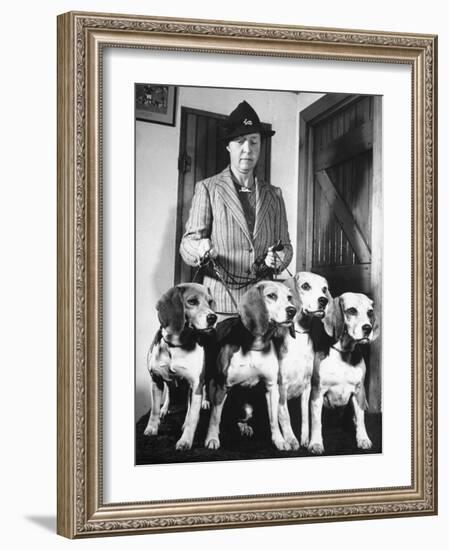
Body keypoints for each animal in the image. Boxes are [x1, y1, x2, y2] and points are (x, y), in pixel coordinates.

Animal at [142, 284, 215, 452]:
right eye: (192, 301)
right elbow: (154, 410)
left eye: (210, 302)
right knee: (170, 393)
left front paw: (185, 441)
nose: (213, 317)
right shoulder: (156, 380)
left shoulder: (195, 385)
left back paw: (204, 403)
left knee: (202, 392)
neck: (176, 345)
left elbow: (193, 418)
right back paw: (165, 408)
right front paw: (152, 428)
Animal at [205, 280, 296, 452]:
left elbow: (274, 420)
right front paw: (212, 438)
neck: (255, 346)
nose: (292, 311)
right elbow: (214, 417)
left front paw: (279, 440)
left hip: (247, 409)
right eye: (271, 296)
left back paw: (244, 426)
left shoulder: (271, 387)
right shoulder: (222, 386)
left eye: (289, 297)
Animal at [278, 274, 330, 450]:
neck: (299, 336)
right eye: (305, 286)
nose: (324, 300)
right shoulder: (281, 387)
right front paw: (290, 439)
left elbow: (306, 416)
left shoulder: (307, 387)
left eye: (324, 289)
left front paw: (306, 439)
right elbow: (285, 415)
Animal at [308, 294, 378, 458]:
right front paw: (315, 443)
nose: (368, 328)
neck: (343, 353)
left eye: (370, 312)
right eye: (352, 311)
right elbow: (316, 422)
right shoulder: (317, 392)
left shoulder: (359, 391)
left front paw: (363, 438)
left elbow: (361, 419)